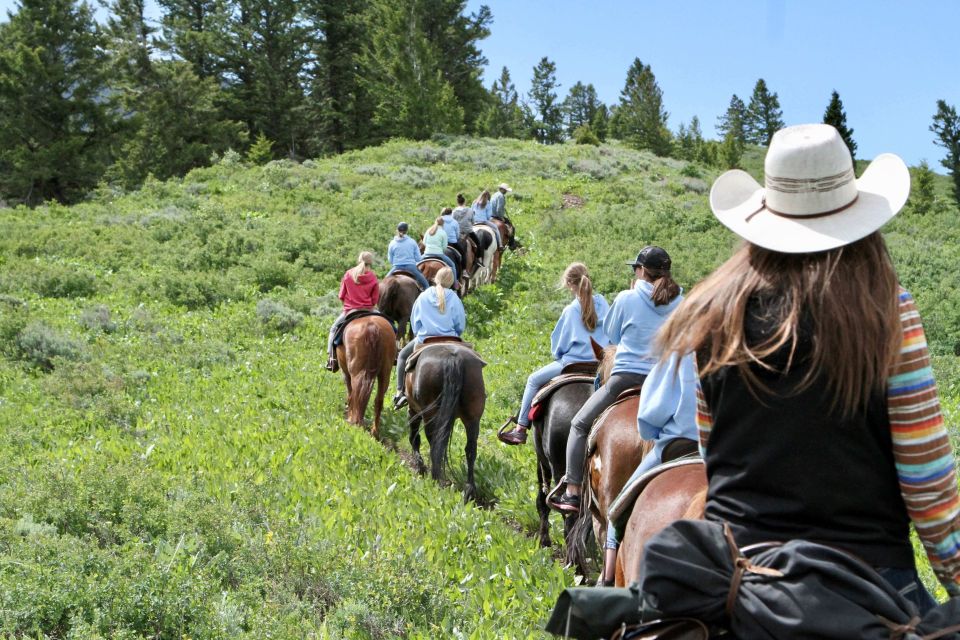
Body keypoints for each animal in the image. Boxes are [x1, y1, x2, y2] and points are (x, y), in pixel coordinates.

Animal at [404, 342, 484, 502]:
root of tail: (453, 358)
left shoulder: (414, 410)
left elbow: (414, 437)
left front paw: (420, 467)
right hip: (473, 417)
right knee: (471, 449)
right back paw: (469, 490)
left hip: (429, 414)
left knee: (434, 443)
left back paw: (435, 478)